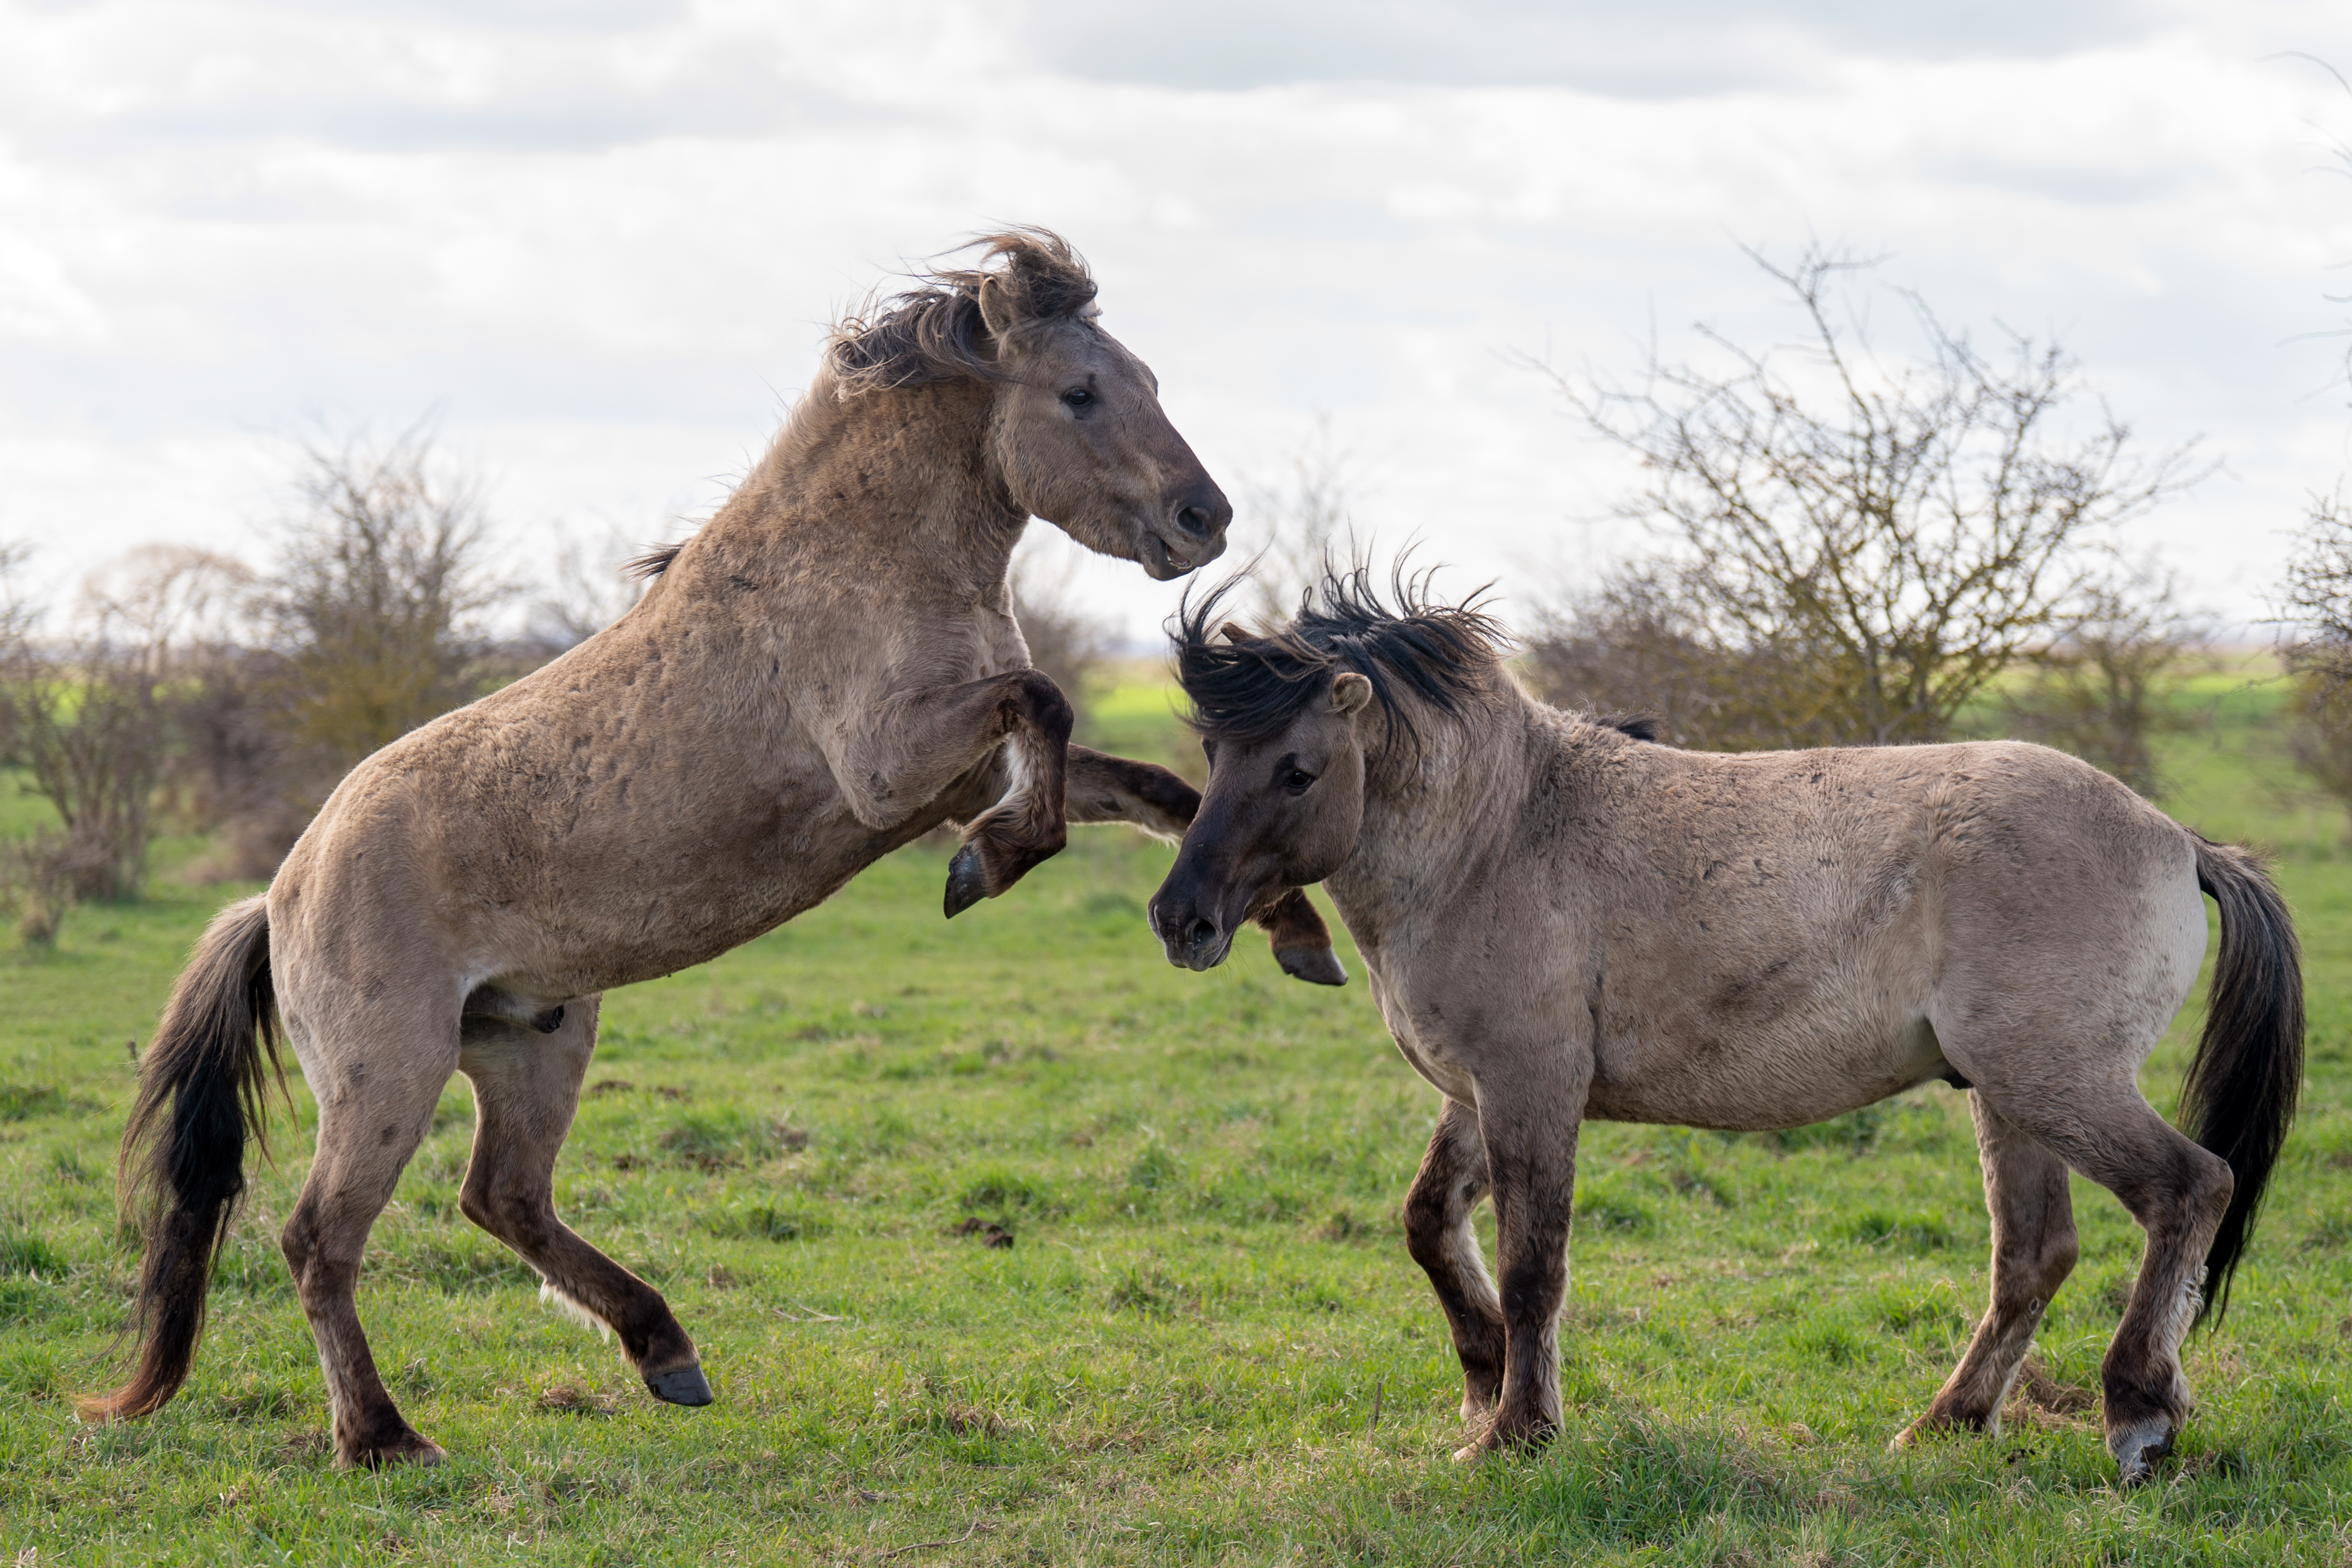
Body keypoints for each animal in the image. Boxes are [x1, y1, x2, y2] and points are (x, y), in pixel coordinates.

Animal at [83, 233, 1345, 1476]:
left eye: (1145, 380)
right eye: (1079, 392)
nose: (1203, 519)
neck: (858, 559)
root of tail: (281, 892)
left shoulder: (959, 772)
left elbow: (1155, 789)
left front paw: (1289, 934)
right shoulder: (898, 768)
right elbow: (1043, 704)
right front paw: (981, 872)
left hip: (531, 1037)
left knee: (503, 1198)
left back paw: (664, 1352)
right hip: (389, 1069)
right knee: (320, 1237)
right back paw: (385, 1436)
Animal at [1152, 571, 2296, 1495]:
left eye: (1298, 768)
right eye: (1212, 750)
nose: (1180, 919)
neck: (1495, 835)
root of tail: (2175, 839)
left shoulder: (1530, 1088)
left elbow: (1532, 1269)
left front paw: (1516, 1433)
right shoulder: (1478, 1094)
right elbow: (1428, 1224)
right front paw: (1483, 1383)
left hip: (2055, 1082)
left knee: (2188, 1188)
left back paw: (2136, 1413)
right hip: (2008, 1099)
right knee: (2031, 1254)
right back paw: (1942, 1424)